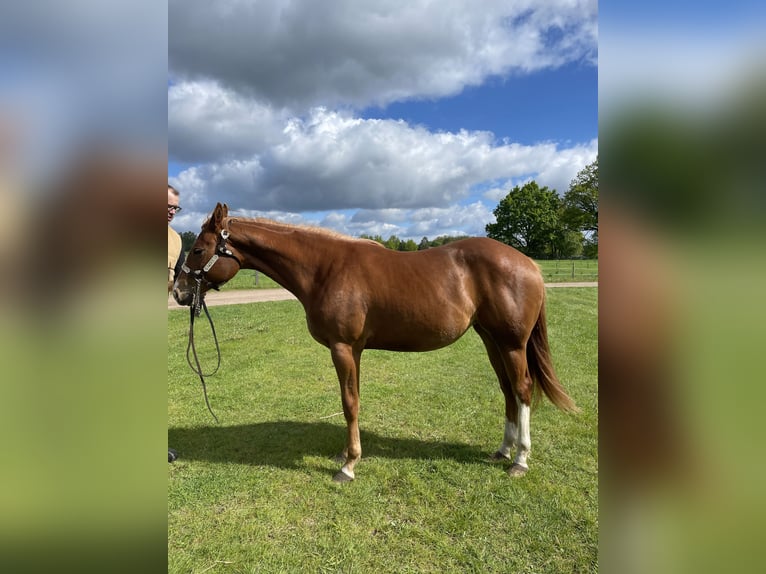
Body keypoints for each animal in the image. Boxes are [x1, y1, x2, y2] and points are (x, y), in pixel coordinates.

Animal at [173, 203, 577, 482]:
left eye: (198, 250)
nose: (178, 292)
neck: (325, 269)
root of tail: (529, 264)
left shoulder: (343, 348)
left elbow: (349, 403)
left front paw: (348, 466)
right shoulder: (354, 351)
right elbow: (352, 400)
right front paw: (345, 455)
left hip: (511, 344)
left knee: (522, 389)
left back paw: (520, 459)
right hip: (492, 341)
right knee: (508, 390)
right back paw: (503, 451)